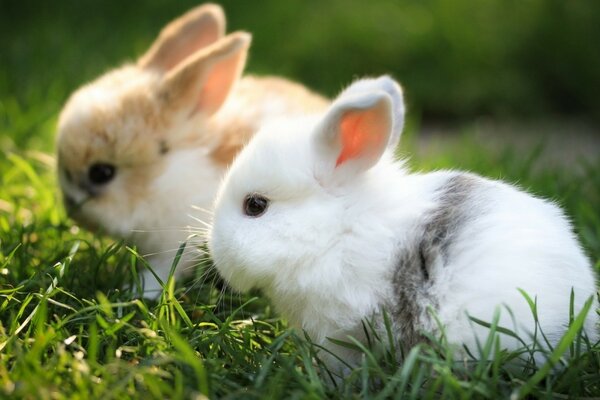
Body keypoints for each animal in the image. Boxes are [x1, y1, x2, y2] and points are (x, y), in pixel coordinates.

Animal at [56, 3, 328, 296]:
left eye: (102, 173)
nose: (72, 210)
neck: (164, 178)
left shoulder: (177, 244)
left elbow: (162, 271)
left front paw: (135, 292)